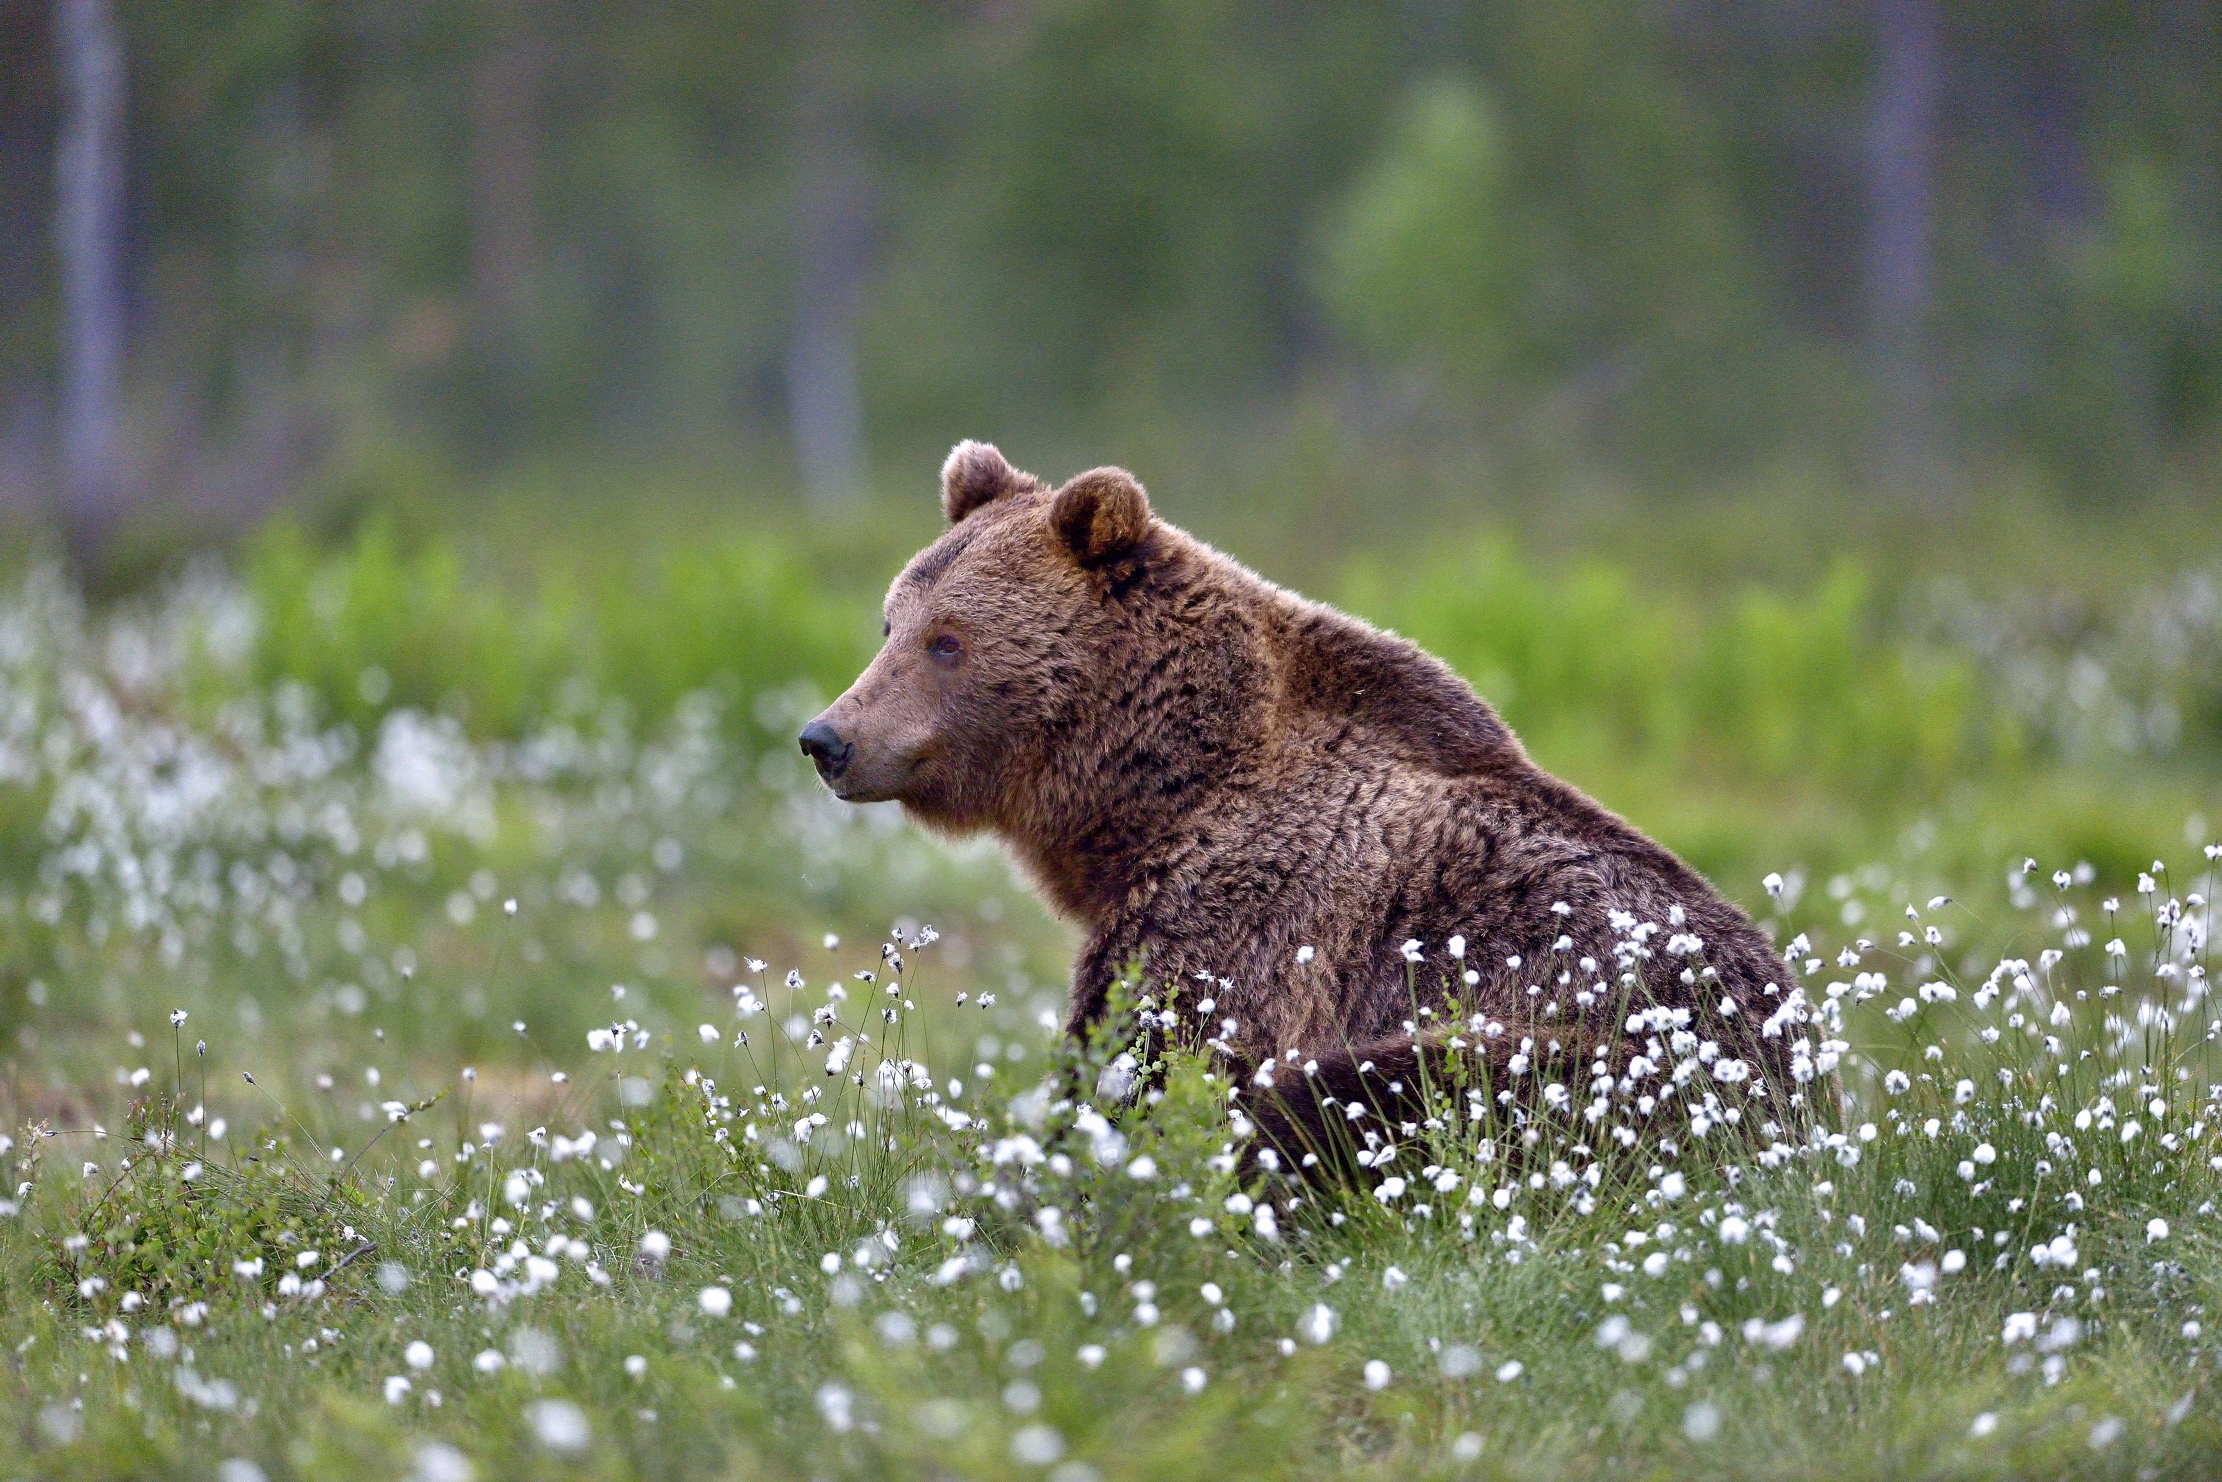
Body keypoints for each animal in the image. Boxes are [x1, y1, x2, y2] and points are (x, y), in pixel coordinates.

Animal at [800, 441, 1800, 1166]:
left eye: (948, 641)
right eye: (889, 624)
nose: (827, 738)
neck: (1155, 793)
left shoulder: (1247, 909)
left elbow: (1154, 1061)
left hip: (1604, 1058)